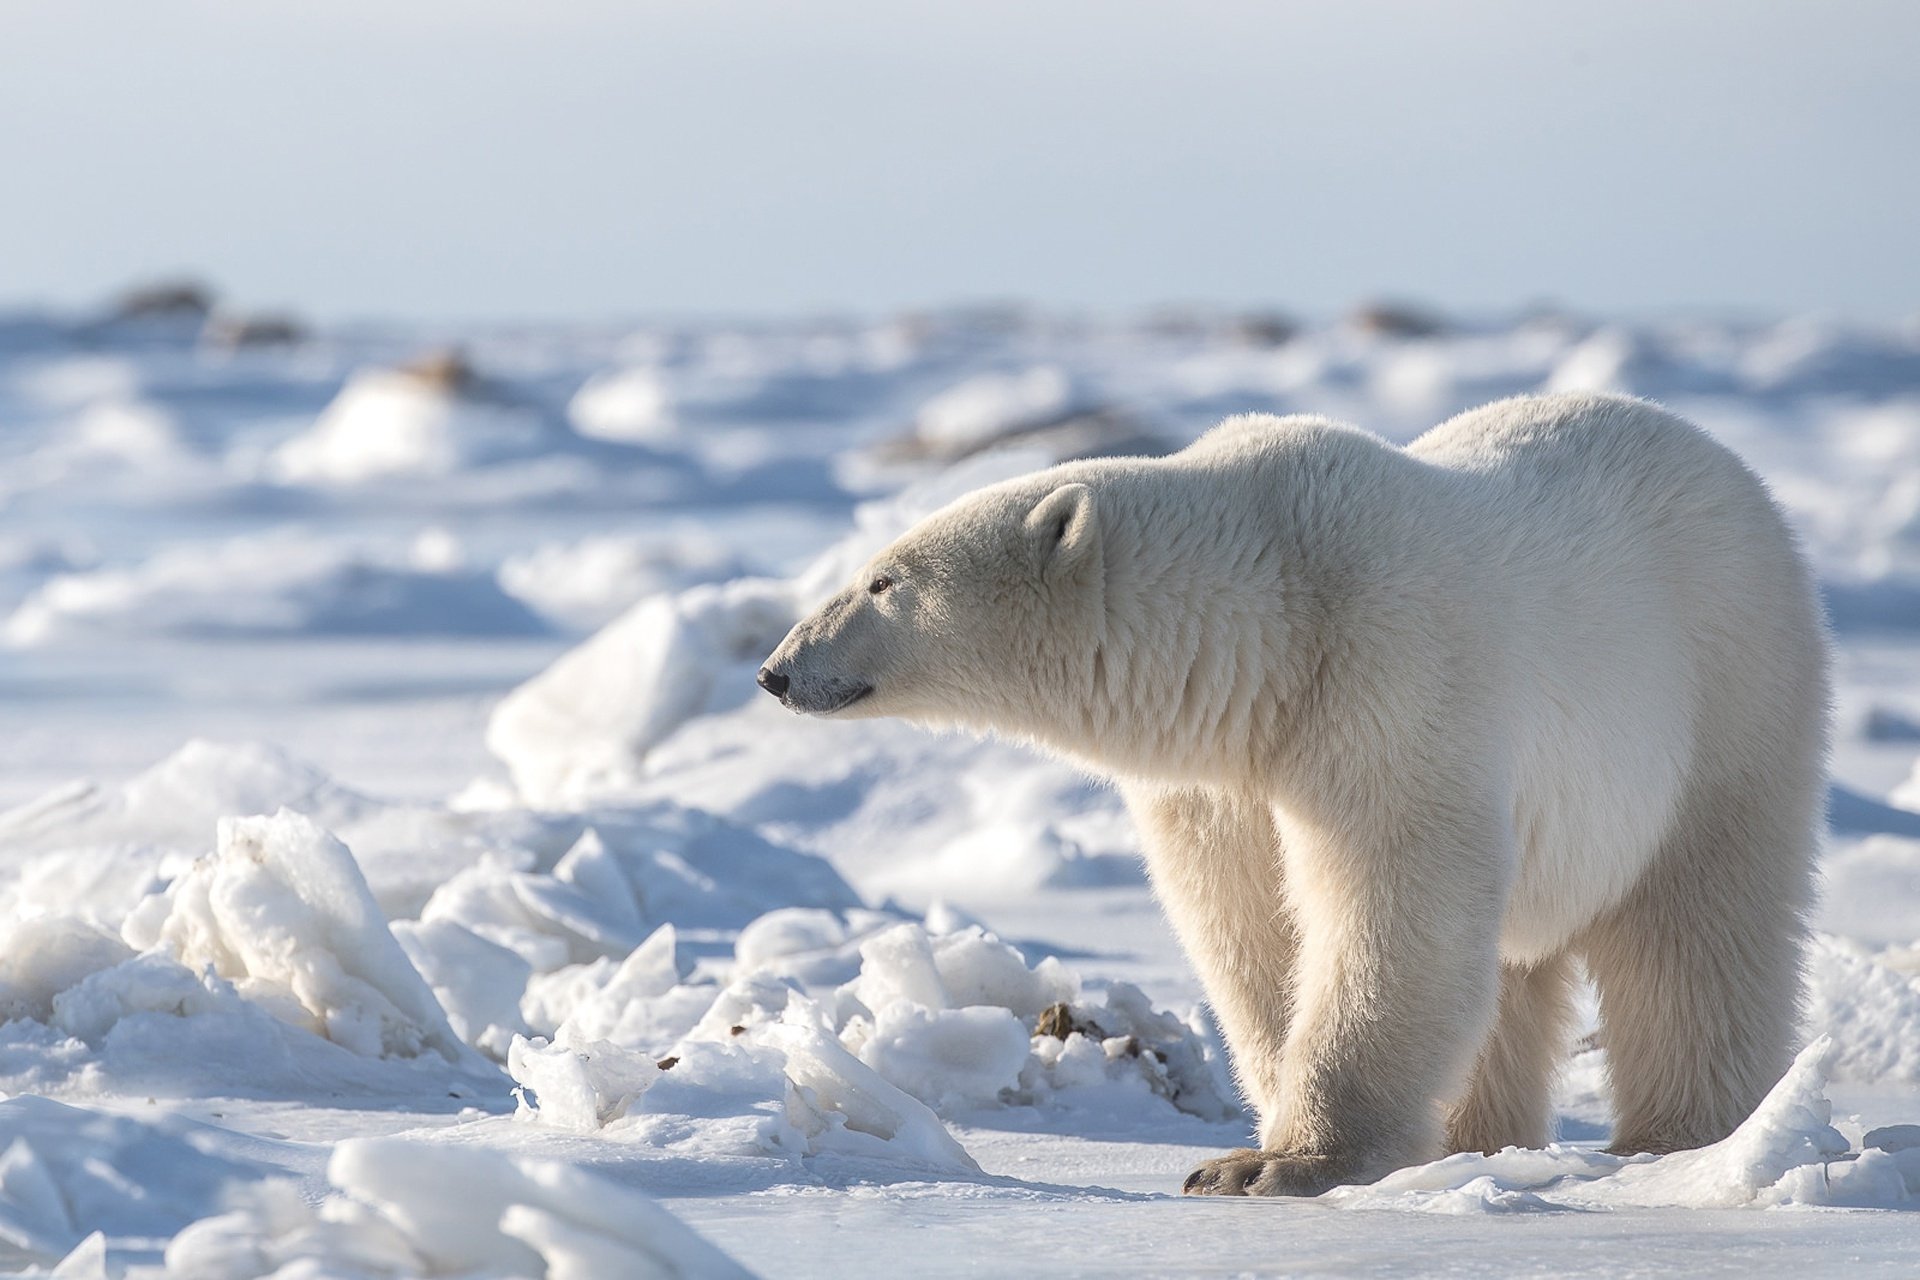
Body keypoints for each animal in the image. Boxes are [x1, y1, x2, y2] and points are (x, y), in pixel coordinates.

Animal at [756, 395, 1820, 1197]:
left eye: (882, 580)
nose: (777, 670)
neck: (1274, 613)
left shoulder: (1386, 678)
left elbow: (1390, 904)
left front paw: (1285, 1165)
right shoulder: (1222, 769)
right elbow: (1249, 924)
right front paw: (1262, 1139)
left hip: (1728, 690)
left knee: (1700, 926)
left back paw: (1680, 1137)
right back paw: (1473, 1137)